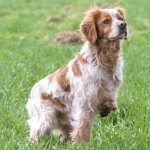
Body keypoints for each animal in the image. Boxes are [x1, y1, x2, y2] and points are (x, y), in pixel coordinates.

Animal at [26, 6, 127, 144]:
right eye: (106, 21)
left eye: (120, 18)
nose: (123, 25)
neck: (105, 59)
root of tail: (32, 92)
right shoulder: (84, 105)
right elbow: (82, 130)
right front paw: (83, 145)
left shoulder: (108, 92)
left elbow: (110, 103)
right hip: (44, 121)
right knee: (34, 138)